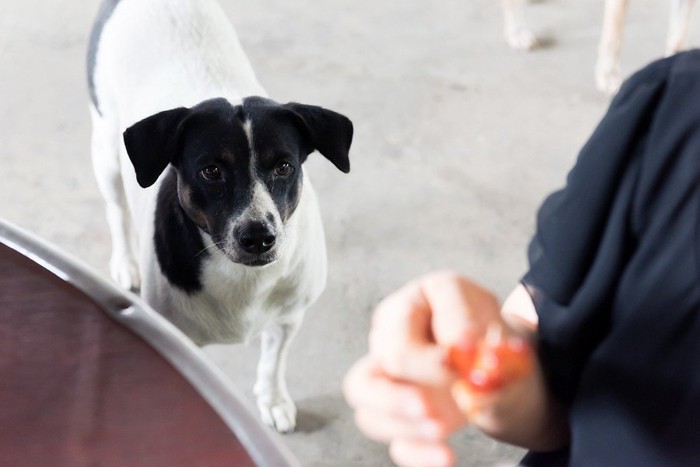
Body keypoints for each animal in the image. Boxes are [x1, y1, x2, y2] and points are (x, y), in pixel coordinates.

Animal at [88, 0, 352, 436]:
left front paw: (273, 399)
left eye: (284, 166)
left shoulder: (289, 315)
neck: (244, 279)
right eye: (211, 171)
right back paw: (125, 262)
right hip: (106, 150)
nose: (258, 237)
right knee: (115, 208)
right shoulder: (180, 340)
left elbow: (274, 359)